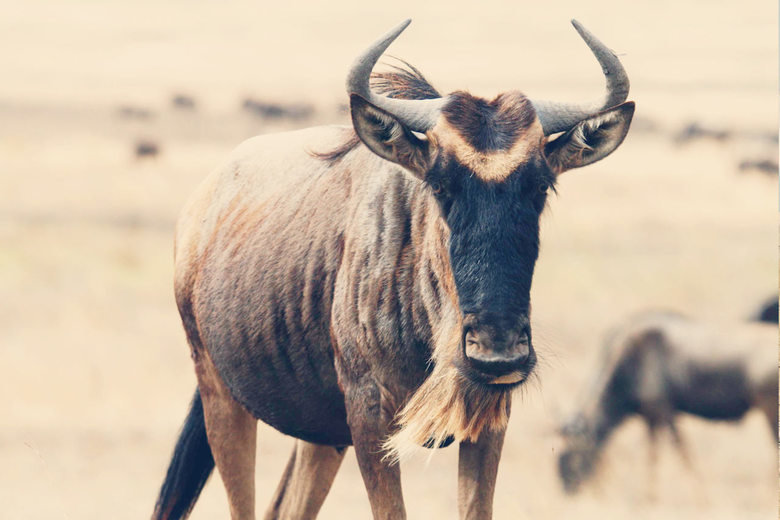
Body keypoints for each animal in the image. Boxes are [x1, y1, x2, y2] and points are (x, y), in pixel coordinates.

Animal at [152, 19, 635, 520]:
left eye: (540, 186)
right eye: (440, 185)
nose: (497, 351)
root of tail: (200, 206)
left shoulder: (488, 416)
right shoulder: (370, 415)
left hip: (320, 435)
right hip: (222, 397)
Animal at [557, 311, 778, 495]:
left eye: (571, 458)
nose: (569, 493)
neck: (628, 363)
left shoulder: (665, 413)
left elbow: (679, 454)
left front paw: (699, 496)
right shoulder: (652, 419)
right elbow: (656, 456)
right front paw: (650, 496)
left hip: (770, 412)